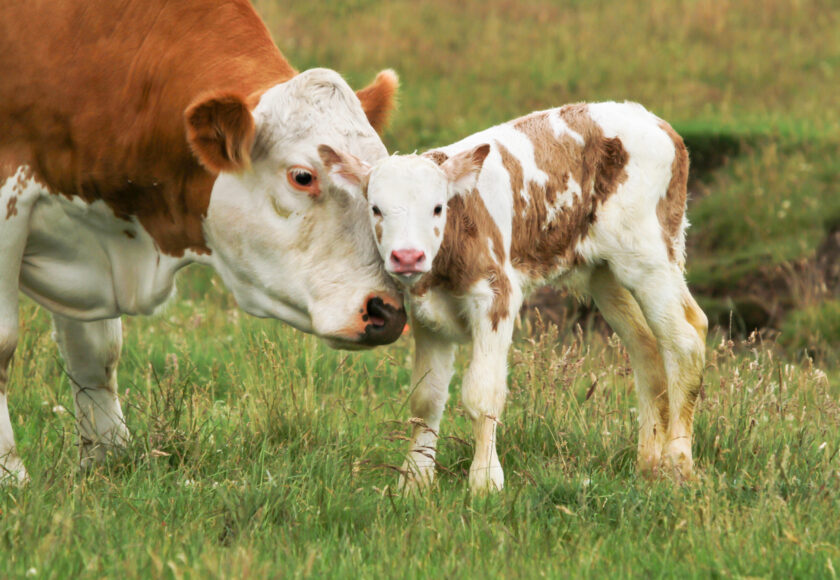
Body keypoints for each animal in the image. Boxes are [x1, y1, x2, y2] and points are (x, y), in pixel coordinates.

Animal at [0, 0, 408, 483]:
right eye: (302, 176)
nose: (387, 312)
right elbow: (4, 342)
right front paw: (10, 474)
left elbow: (95, 352)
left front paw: (110, 459)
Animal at [320, 102, 709, 493]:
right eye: (375, 208)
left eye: (438, 207)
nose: (407, 256)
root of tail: (652, 119)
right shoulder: (426, 314)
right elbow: (425, 398)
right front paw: (414, 480)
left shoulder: (496, 296)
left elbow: (482, 393)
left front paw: (485, 480)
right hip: (605, 272)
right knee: (646, 346)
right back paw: (648, 464)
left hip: (648, 253)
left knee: (685, 337)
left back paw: (678, 464)